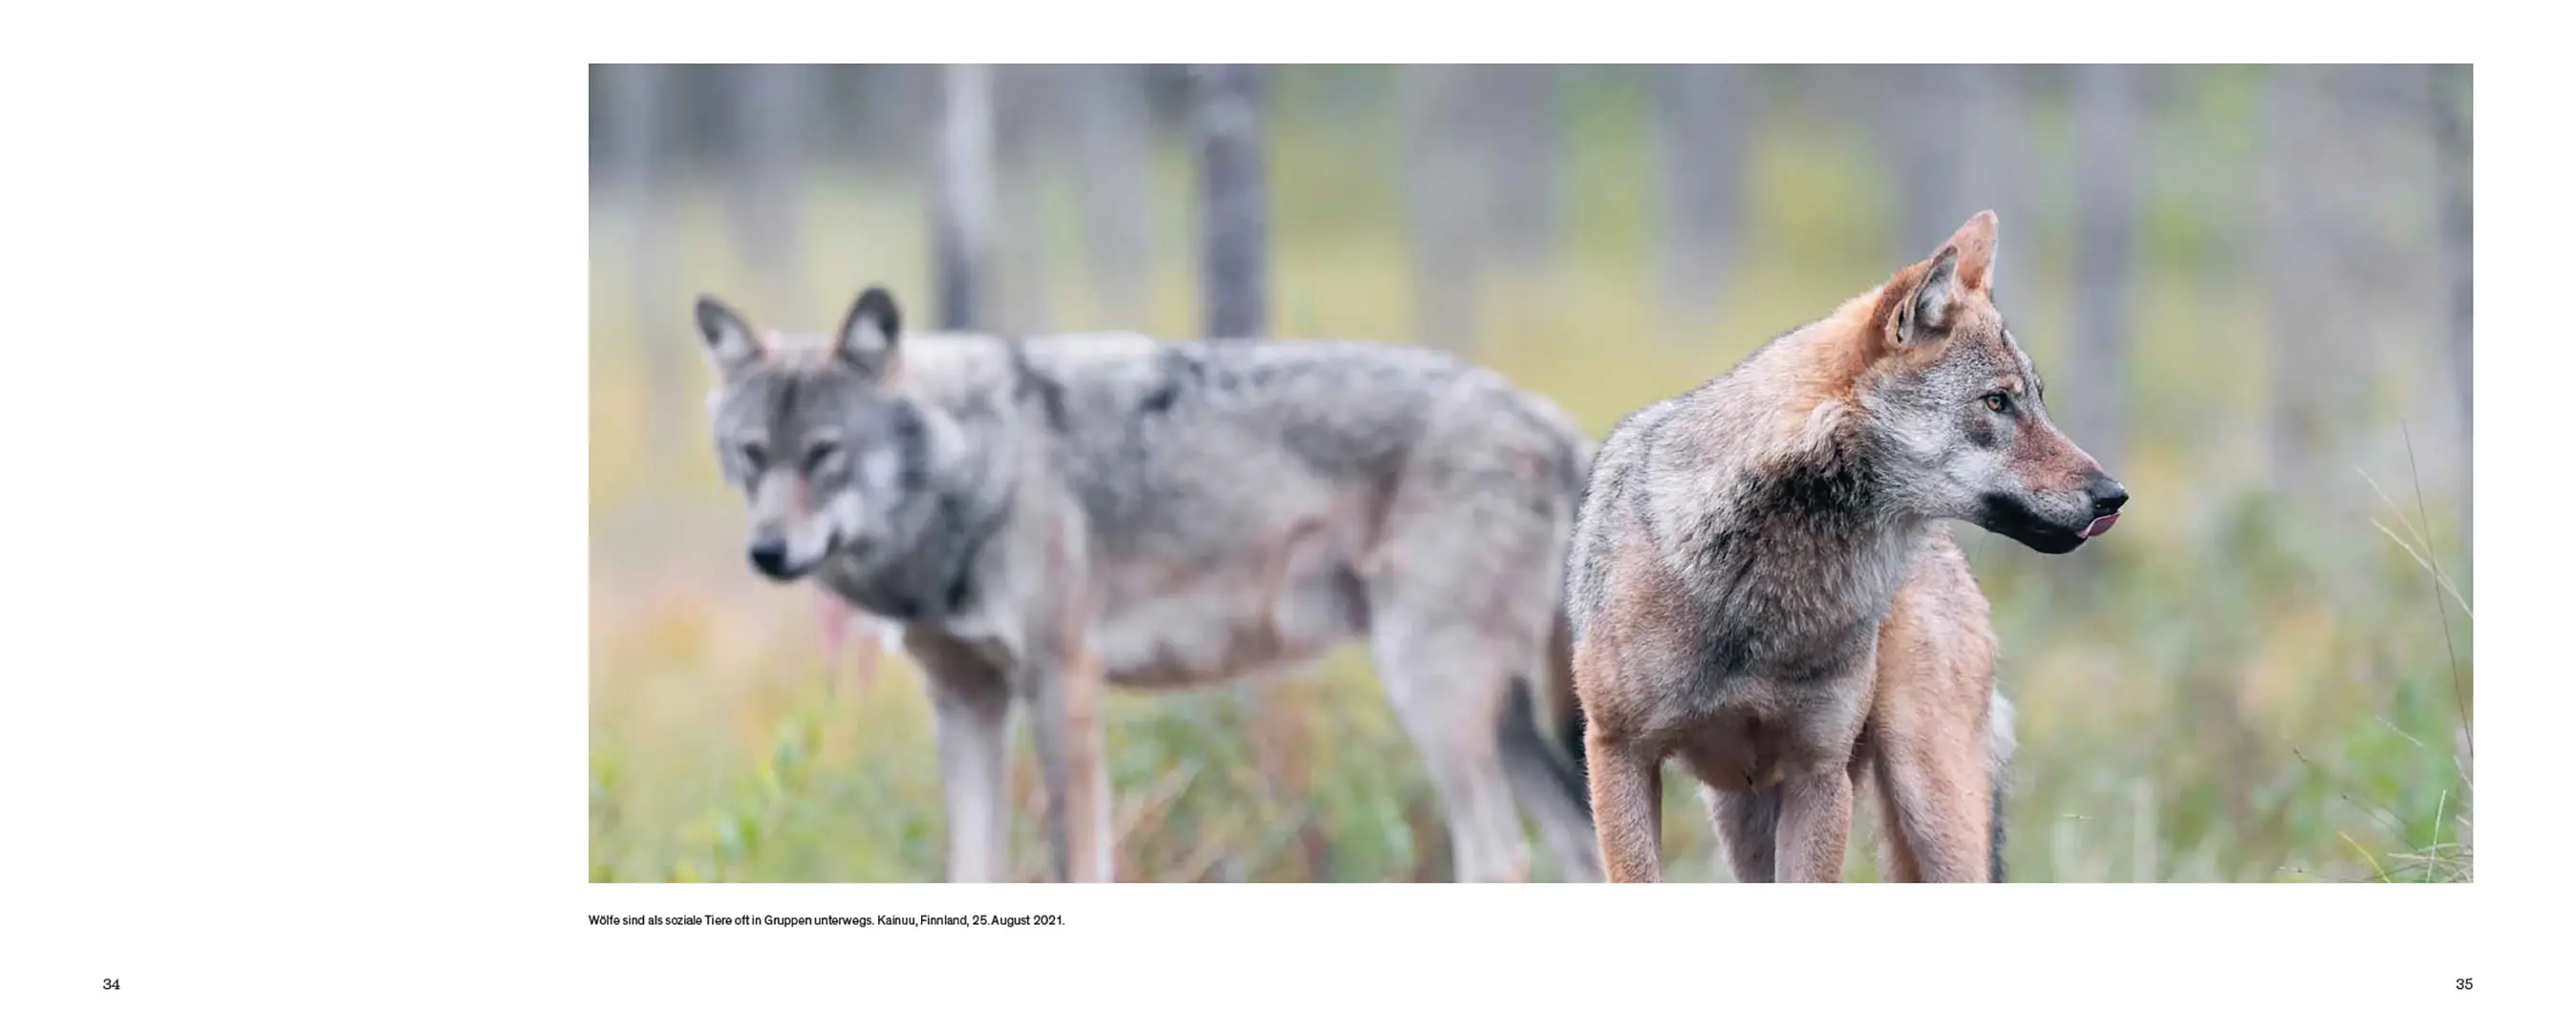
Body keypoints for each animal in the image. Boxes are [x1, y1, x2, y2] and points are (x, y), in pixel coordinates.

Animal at [692, 285, 1602, 883]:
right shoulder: (964, 702)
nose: (766, 552)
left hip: (1432, 694)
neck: (979, 467)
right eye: (750, 455)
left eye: (824, 454)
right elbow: (971, 870)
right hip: (1502, 718)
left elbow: (1077, 864)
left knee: (1500, 855)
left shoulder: (1062, 683)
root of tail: (1559, 424)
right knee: (1577, 847)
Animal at [1564, 211, 2126, 882]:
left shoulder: (1820, 773)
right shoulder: (1619, 752)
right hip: (1746, 818)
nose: (2114, 497)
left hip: (1929, 802)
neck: (1768, 591)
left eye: (2038, 400)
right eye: (1997, 401)